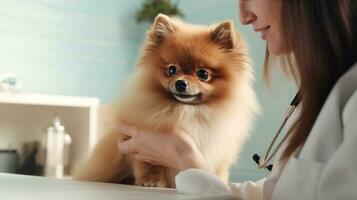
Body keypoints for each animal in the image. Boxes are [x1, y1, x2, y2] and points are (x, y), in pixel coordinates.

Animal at [72, 13, 258, 188]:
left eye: (203, 74)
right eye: (171, 70)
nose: (181, 83)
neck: (189, 111)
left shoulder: (220, 151)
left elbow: (218, 170)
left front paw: (219, 182)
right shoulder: (139, 142)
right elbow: (149, 163)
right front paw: (151, 181)